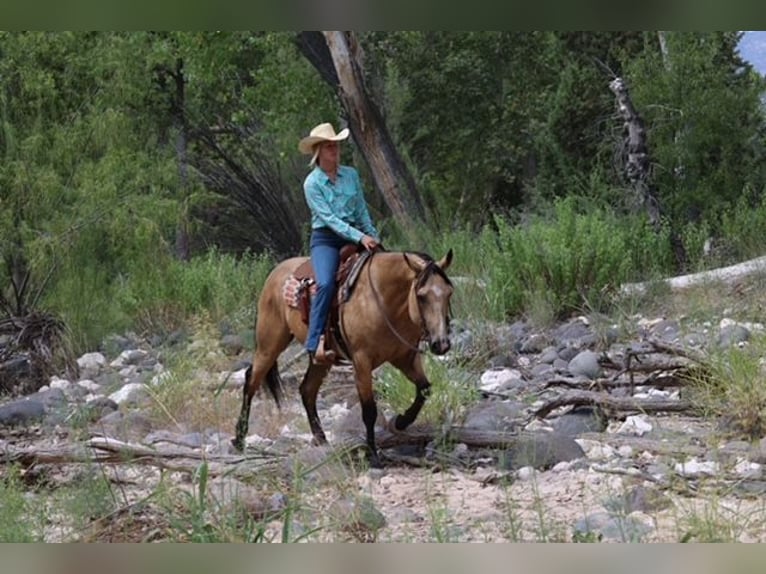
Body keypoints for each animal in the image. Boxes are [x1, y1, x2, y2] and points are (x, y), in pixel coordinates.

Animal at [231, 249, 452, 468]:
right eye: (422, 296)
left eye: (449, 292)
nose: (441, 344)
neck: (381, 299)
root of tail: (274, 274)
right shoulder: (362, 361)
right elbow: (369, 410)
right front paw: (373, 455)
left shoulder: (405, 357)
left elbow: (424, 389)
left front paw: (400, 421)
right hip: (270, 344)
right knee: (252, 380)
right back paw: (239, 439)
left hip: (320, 359)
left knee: (307, 390)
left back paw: (321, 438)